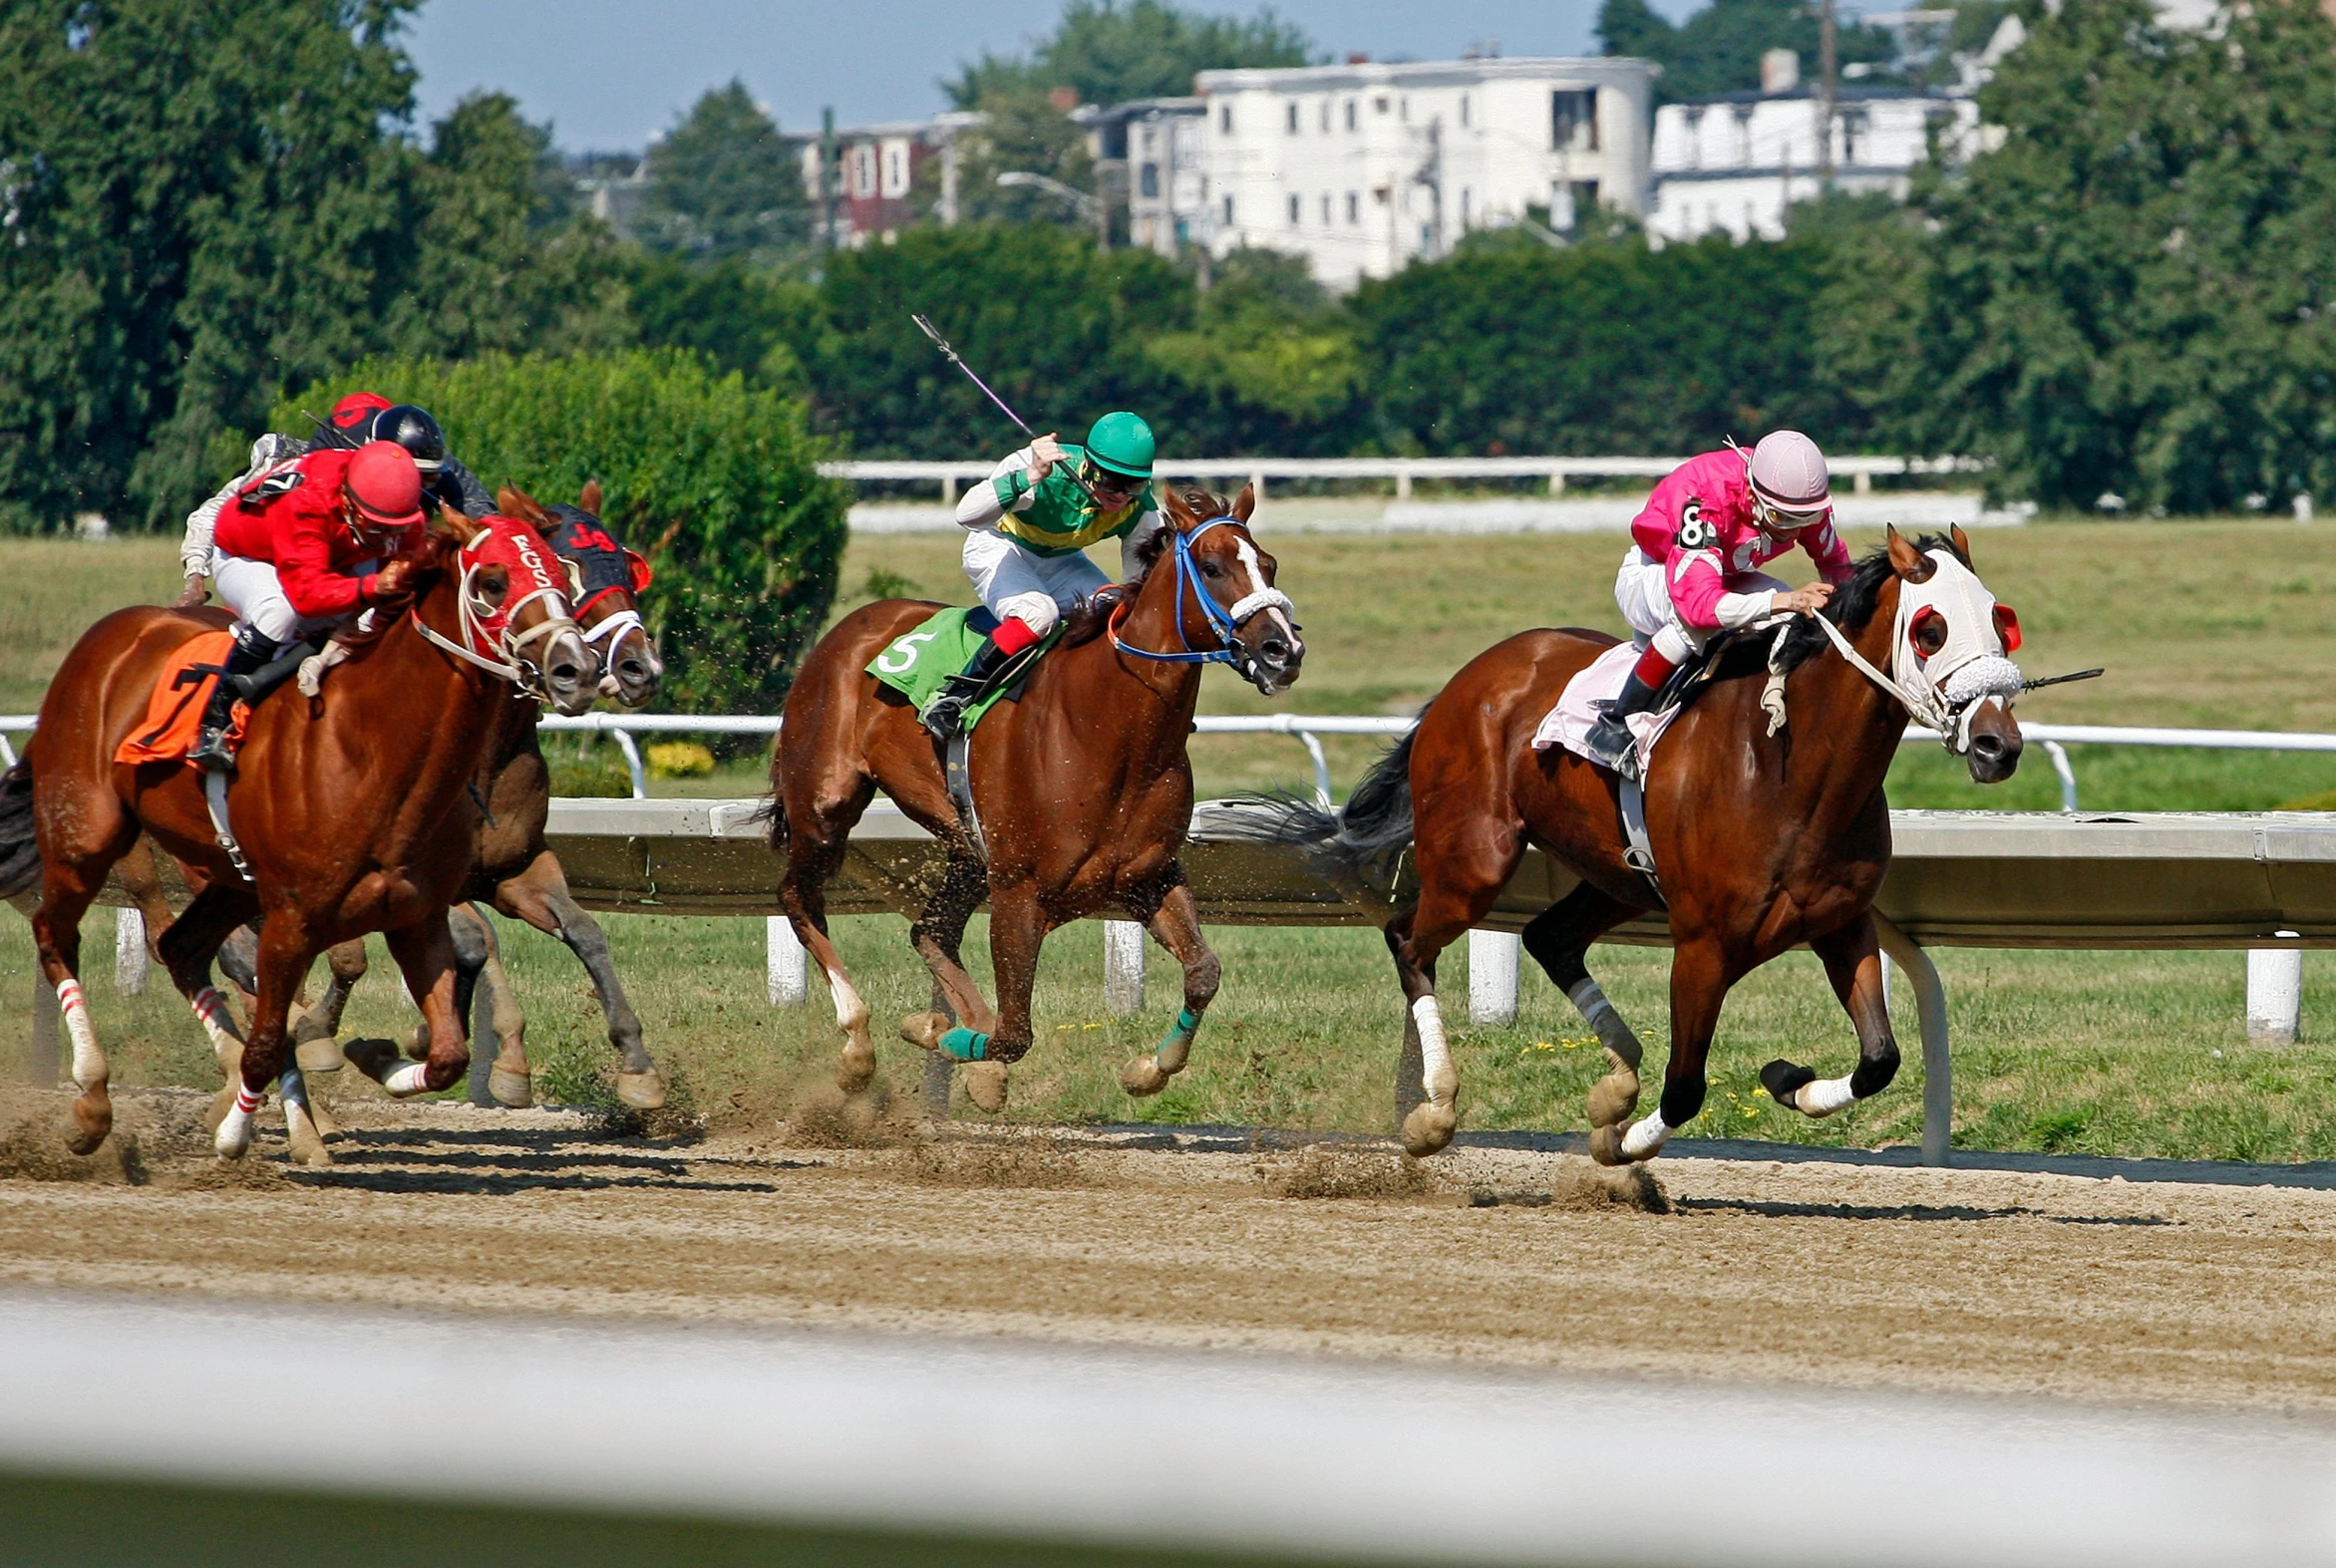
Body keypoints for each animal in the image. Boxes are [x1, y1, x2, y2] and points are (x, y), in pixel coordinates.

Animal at [775, 483, 1308, 1111]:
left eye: (1269, 564)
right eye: (1212, 567)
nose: (1283, 650)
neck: (1106, 729)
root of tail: (851, 627)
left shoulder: (1148, 876)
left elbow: (1204, 971)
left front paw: (1147, 1069)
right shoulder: (1018, 891)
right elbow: (1012, 1034)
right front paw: (949, 1041)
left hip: (966, 845)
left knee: (930, 930)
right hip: (825, 802)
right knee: (799, 897)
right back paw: (858, 1044)